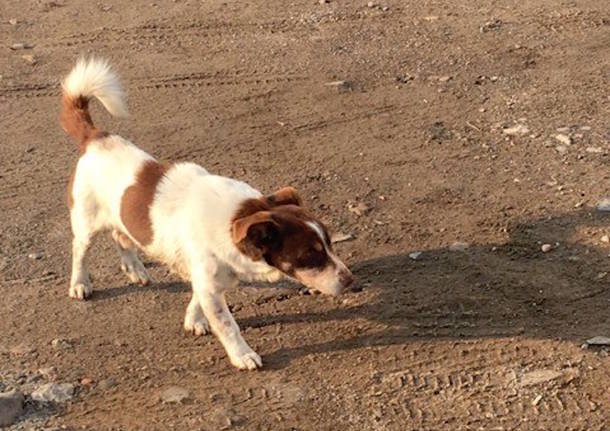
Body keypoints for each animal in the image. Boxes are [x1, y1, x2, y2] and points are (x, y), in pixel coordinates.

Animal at [60, 58, 354, 372]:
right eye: (309, 255)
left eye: (330, 245)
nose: (350, 280)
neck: (234, 218)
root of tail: (95, 137)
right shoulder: (210, 284)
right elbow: (227, 325)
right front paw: (242, 355)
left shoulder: (206, 280)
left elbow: (197, 300)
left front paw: (194, 319)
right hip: (86, 222)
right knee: (80, 251)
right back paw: (80, 284)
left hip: (119, 217)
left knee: (121, 237)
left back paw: (135, 269)